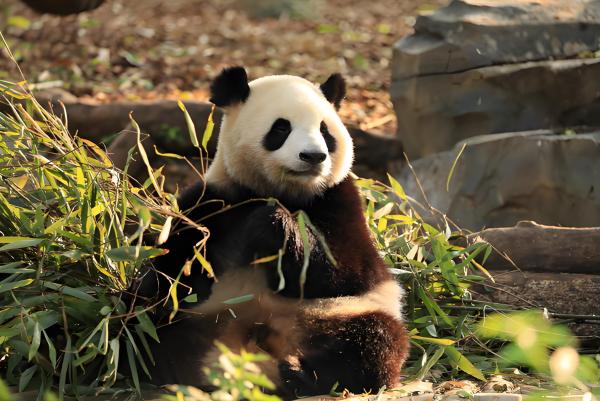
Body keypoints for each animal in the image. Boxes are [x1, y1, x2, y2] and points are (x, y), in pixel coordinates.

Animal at [135, 67, 409, 398]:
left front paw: (271, 223)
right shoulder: (215, 202)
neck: (282, 191)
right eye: (281, 128)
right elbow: (174, 266)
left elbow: (349, 270)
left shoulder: (338, 199)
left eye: (325, 131)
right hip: (202, 321)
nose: (313, 156)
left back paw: (300, 374)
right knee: (150, 339)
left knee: (374, 340)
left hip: (339, 314)